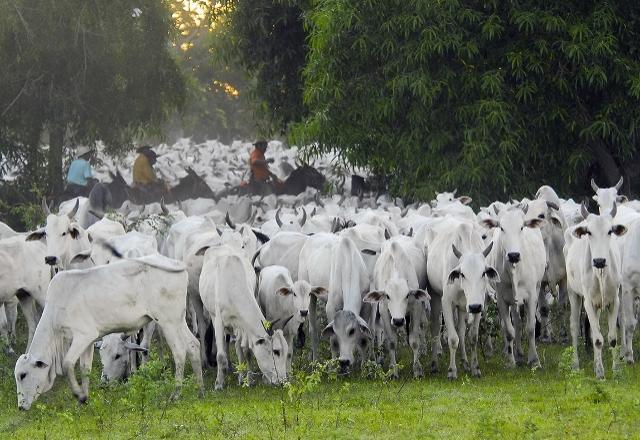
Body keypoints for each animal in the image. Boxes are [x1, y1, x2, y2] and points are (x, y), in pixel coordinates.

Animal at [13, 251, 204, 410]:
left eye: (23, 375)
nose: (21, 406)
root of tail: (177, 264)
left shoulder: (83, 336)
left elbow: (68, 364)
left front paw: (78, 395)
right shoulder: (90, 341)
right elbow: (85, 368)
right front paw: (84, 400)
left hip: (167, 321)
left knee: (179, 351)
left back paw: (176, 394)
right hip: (178, 320)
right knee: (193, 345)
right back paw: (200, 390)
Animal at [199, 246, 288, 390]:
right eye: (276, 351)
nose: (283, 381)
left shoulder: (243, 326)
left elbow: (246, 351)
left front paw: (248, 380)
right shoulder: (219, 322)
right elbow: (221, 355)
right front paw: (219, 384)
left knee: (239, 348)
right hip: (212, 314)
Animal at [364, 241, 430, 378]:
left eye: (407, 295)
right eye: (388, 296)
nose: (398, 321)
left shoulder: (416, 308)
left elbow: (414, 341)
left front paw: (417, 370)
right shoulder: (384, 312)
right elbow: (392, 342)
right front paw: (393, 371)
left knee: (423, 325)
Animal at [428, 219, 498, 378]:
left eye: (483, 273)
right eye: (462, 274)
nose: (474, 306)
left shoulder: (478, 305)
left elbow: (472, 337)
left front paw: (475, 368)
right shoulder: (447, 303)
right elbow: (453, 339)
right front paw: (452, 371)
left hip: (461, 308)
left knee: (460, 330)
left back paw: (465, 362)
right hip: (436, 298)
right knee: (435, 329)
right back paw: (434, 364)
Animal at [480, 205, 544, 368]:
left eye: (521, 227)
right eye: (502, 228)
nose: (513, 255)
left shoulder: (531, 297)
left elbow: (530, 328)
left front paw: (534, 360)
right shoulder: (502, 299)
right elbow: (509, 330)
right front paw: (510, 361)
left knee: (520, 322)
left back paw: (520, 352)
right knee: (514, 322)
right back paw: (514, 352)